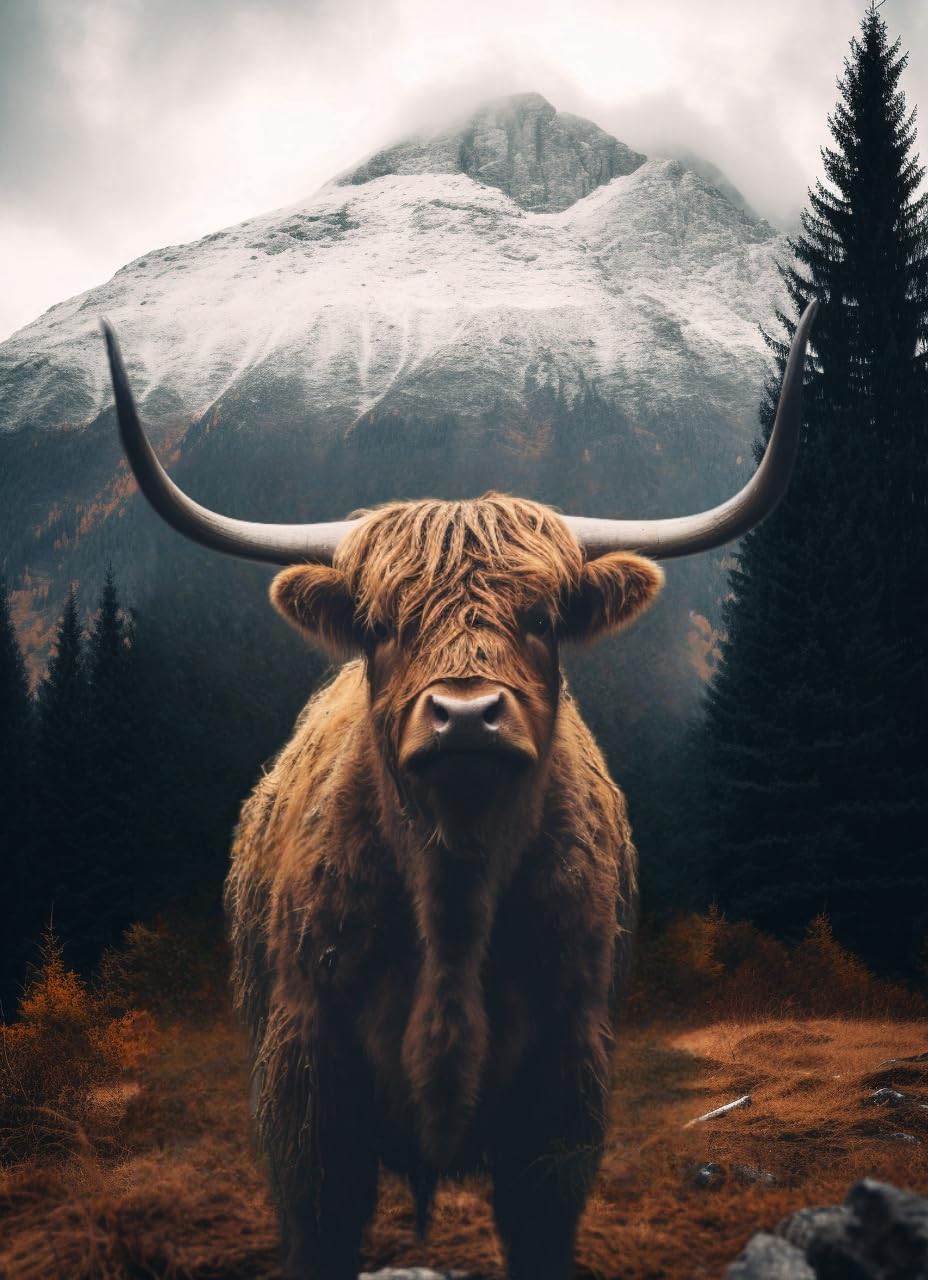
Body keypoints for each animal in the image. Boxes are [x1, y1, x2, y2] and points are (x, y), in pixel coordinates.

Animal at [102, 300, 816, 1280]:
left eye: (542, 617)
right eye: (380, 623)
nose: (468, 715)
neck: (454, 895)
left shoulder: (565, 1095)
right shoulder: (305, 1090)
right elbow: (321, 1225)